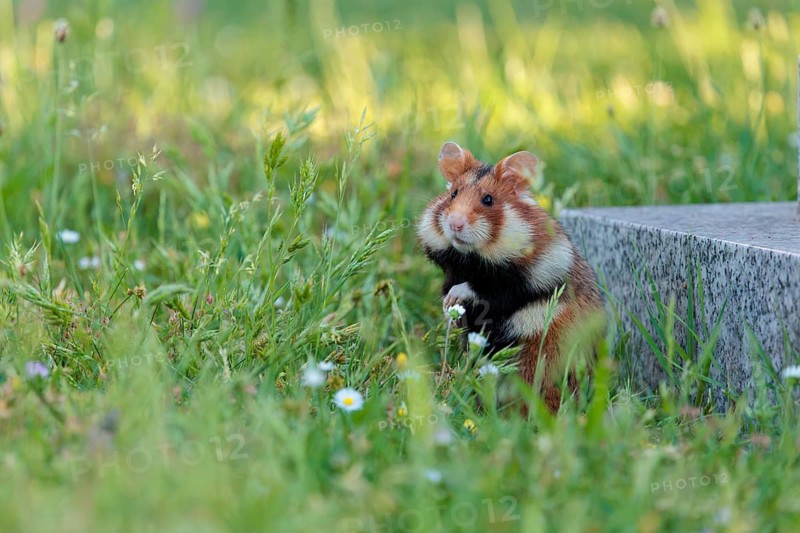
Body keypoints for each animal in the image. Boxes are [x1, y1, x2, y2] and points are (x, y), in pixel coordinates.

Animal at [418, 142, 606, 413]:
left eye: (488, 200)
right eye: (453, 194)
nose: (455, 224)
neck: (470, 259)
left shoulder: (520, 281)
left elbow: (481, 288)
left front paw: (453, 299)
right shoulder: (451, 273)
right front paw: (448, 312)